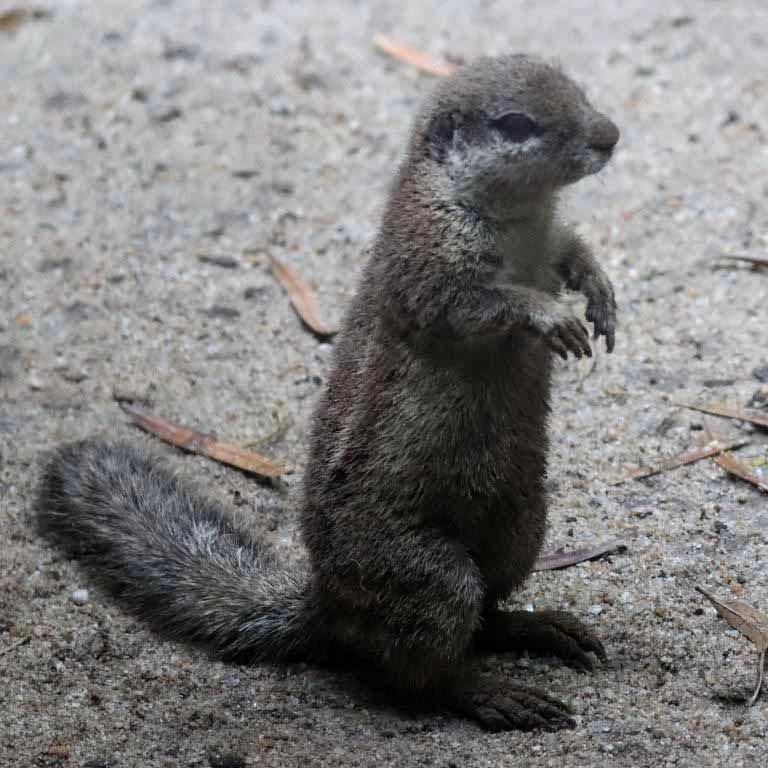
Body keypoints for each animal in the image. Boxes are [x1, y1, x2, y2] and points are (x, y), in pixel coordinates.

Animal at [38, 54, 619, 732]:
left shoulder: (551, 241)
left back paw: (543, 629)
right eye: (516, 123)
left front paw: (601, 295)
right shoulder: (429, 266)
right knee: (423, 671)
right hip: (432, 579)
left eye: (578, 90)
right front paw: (552, 317)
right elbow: (477, 305)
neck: (522, 219)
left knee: (486, 616)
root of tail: (328, 604)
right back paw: (493, 693)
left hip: (520, 529)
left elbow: (576, 253)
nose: (610, 136)